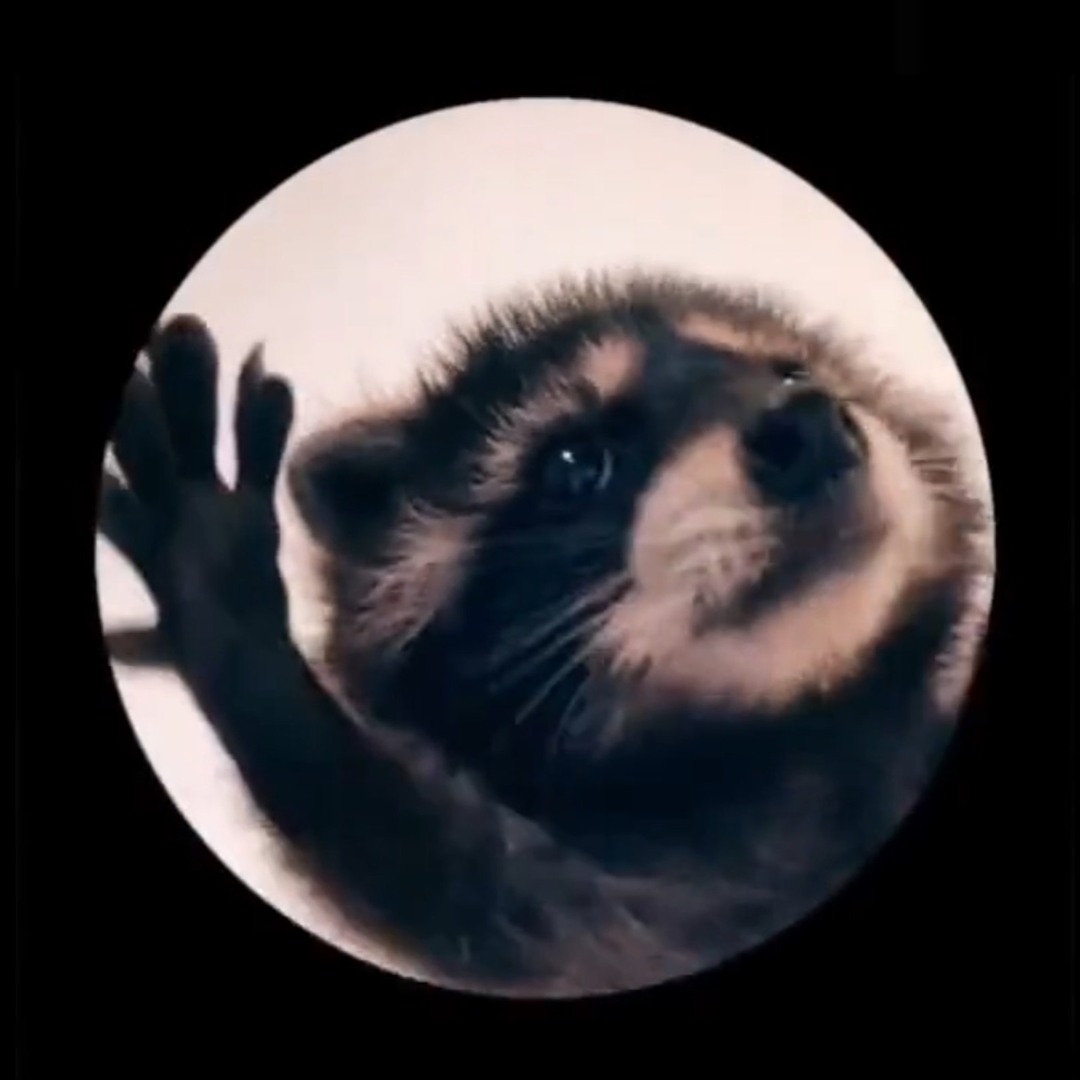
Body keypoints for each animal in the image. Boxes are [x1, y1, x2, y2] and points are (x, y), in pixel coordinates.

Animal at [99, 272, 993, 997]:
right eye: (575, 463)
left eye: (792, 372)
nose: (810, 425)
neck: (789, 743)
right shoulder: (652, 917)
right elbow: (460, 881)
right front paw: (235, 626)